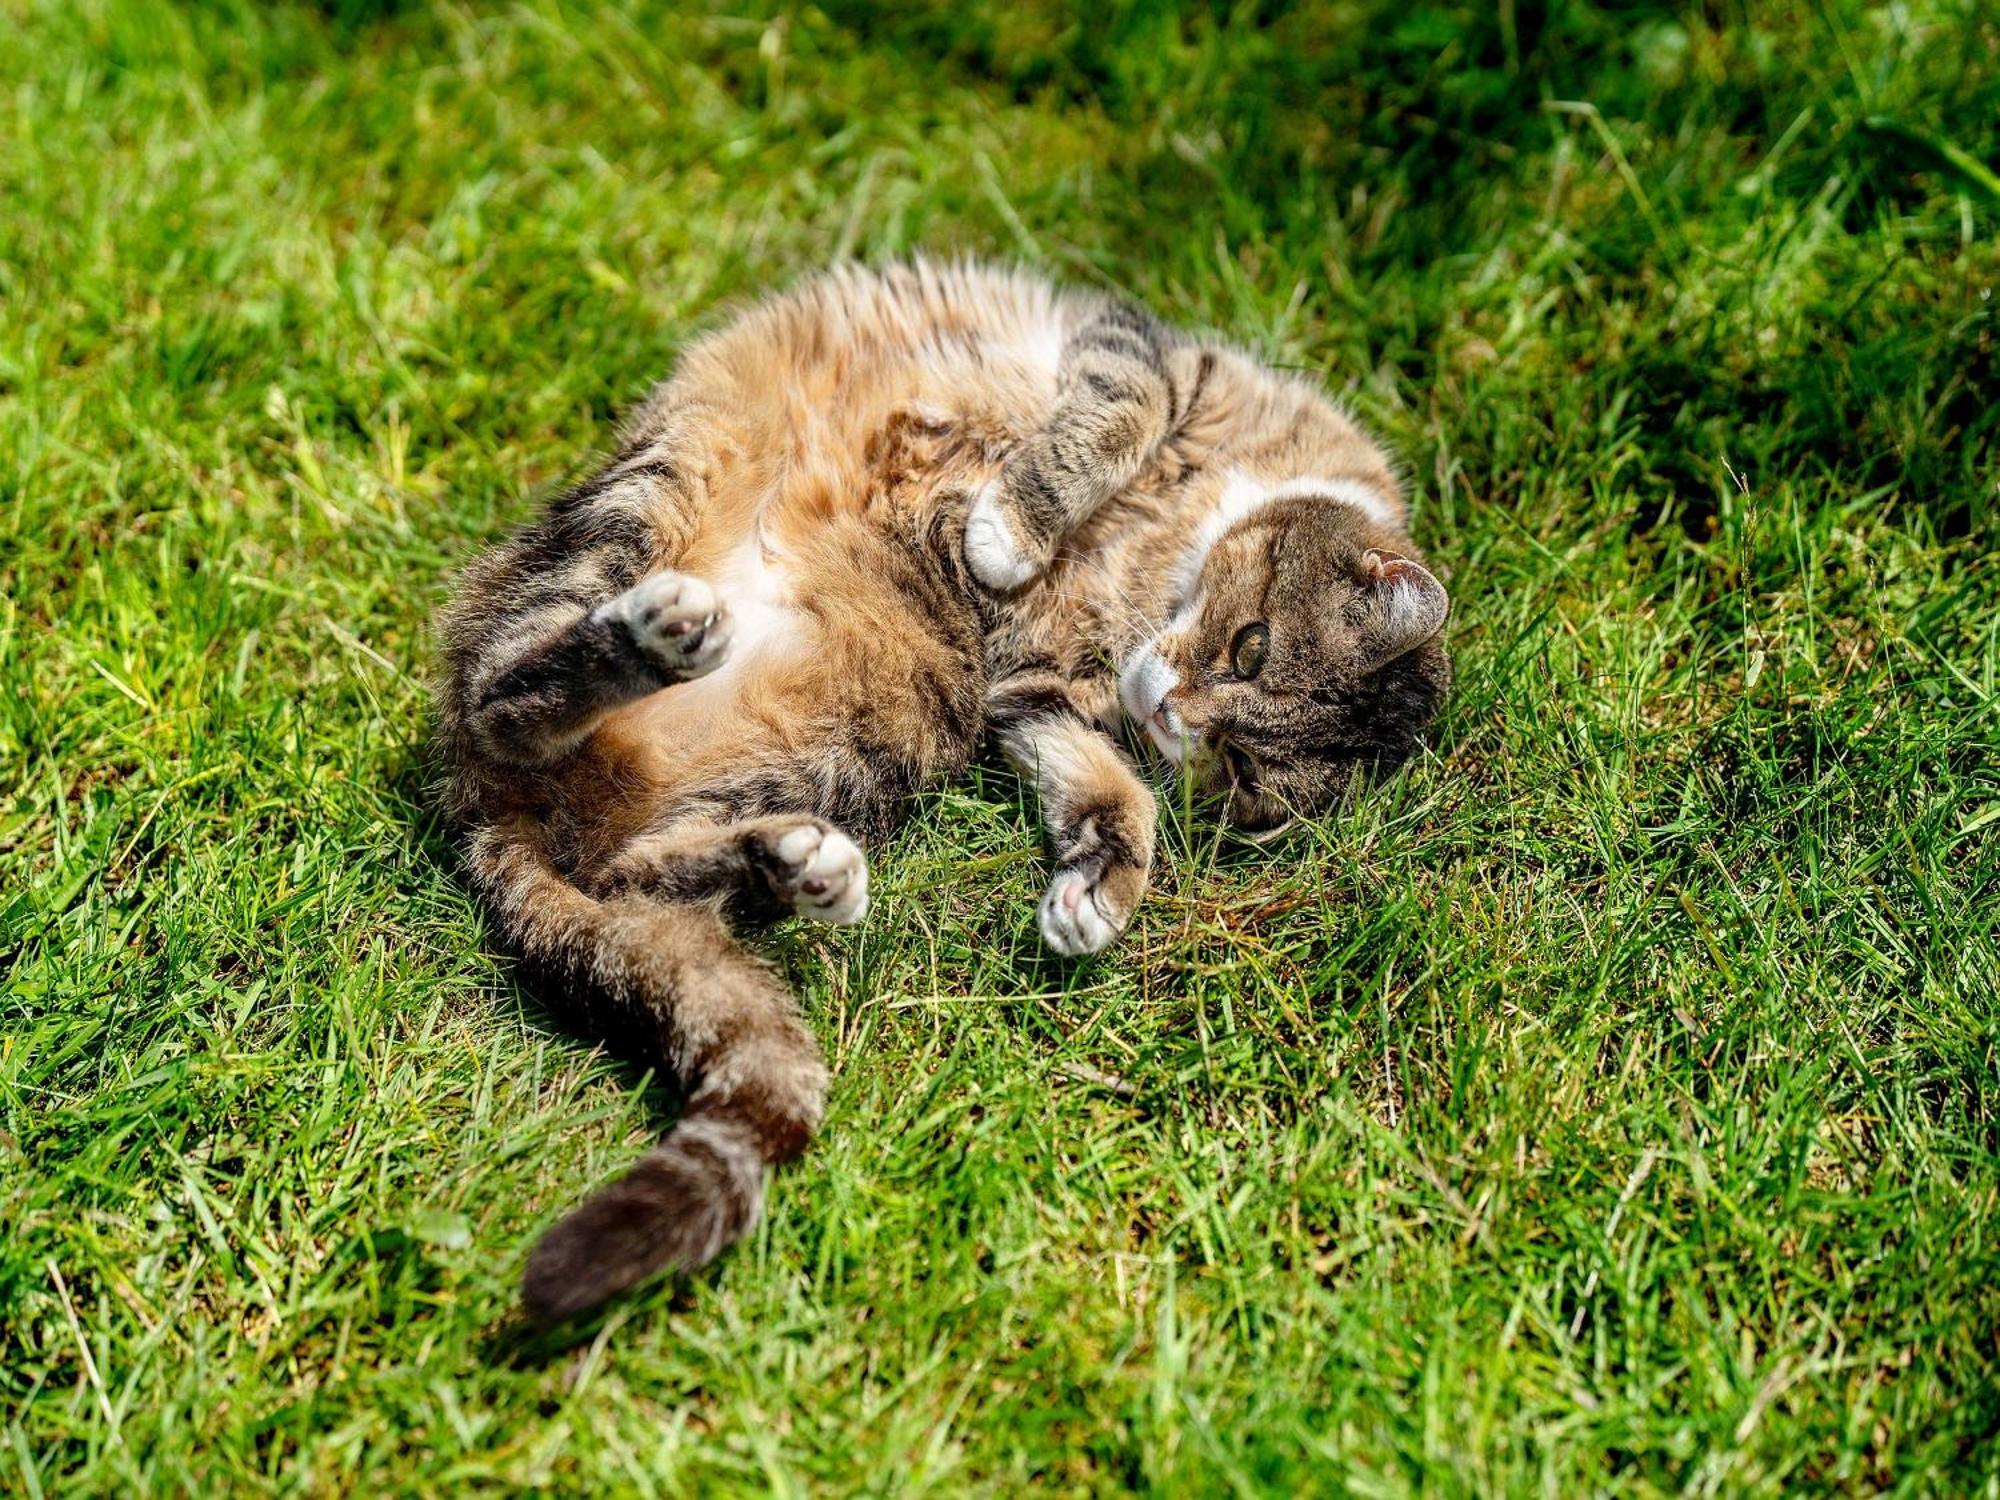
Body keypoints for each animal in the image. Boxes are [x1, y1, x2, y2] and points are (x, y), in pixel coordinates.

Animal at [434, 264, 1456, 1320]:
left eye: (1241, 770)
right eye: (1251, 646)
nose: (1172, 713)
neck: (1160, 565)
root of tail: (490, 811)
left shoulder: (1036, 691)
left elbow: (1109, 789)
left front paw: (1098, 892)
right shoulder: (1150, 354)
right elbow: (1112, 419)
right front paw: (1009, 533)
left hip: (881, 734)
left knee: (634, 871)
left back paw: (798, 863)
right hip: (652, 494)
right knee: (504, 694)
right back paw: (655, 640)